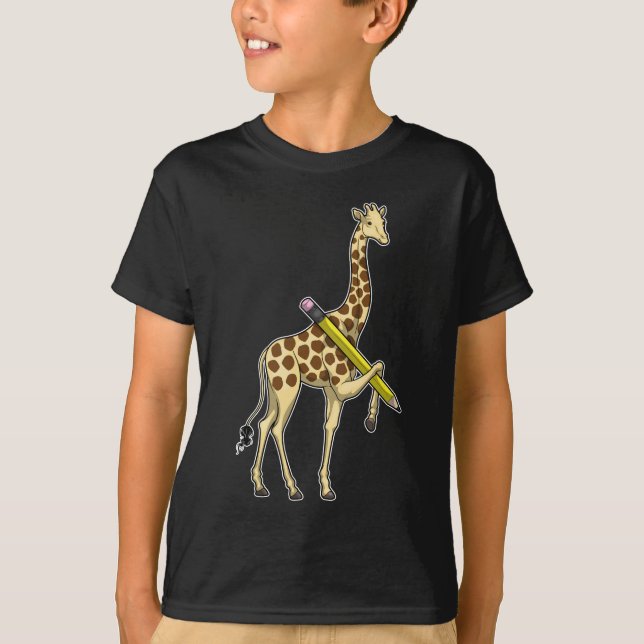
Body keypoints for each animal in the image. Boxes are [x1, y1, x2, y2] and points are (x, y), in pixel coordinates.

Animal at [235, 202, 393, 502]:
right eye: (368, 222)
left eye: (383, 222)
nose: (385, 239)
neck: (350, 322)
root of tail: (265, 355)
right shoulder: (340, 386)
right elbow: (378, 367)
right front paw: (370, 420)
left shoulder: (331, 389)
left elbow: (330, 426)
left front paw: (326, 486)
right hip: (288, 388)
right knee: (277, 427)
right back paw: (292, 488)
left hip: (275, 391)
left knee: (264, 424)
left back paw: (260, 485)